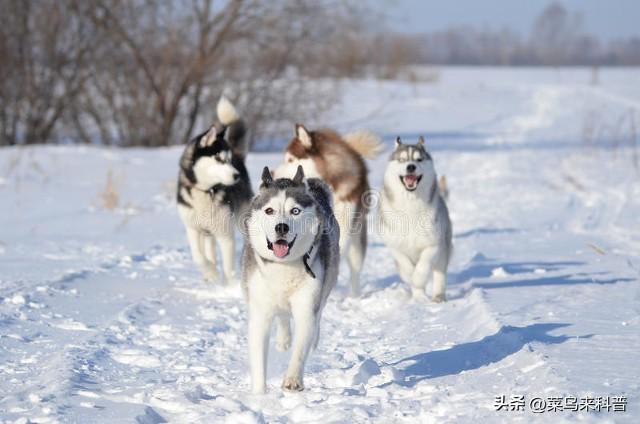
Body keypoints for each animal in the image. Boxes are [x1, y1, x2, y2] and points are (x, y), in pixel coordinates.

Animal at [179, 94, 254, 284]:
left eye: (229, 160)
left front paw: (230, 286)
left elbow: (228, 267)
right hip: (207, 232)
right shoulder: (192, 228)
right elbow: (198, 257)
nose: (237, 176)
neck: (205, 191)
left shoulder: (225, 233)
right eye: (219, 158)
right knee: (209, 250)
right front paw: (211, 273)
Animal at [241, 166, 340, 394]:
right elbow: (258, 355)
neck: (284, 266)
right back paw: (283, 340)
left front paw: (293, 380)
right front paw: (259, 394)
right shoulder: (260, 312)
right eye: (269, 211)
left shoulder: (307, 305)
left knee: (317, 315)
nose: (281, 227)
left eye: (295, 211)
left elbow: (301, 344)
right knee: (283, 317)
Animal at [378, 136, 452, 302]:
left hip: (444, 250)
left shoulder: (433, 244)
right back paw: (419, 297)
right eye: (402, 159)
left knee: (439, 274)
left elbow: (423, 265)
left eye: (419, 159)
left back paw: (437, 296)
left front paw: (417, 279)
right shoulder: (395, 245)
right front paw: (411, 279)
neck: (410, 204)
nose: (411, 167)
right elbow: (405, 265)